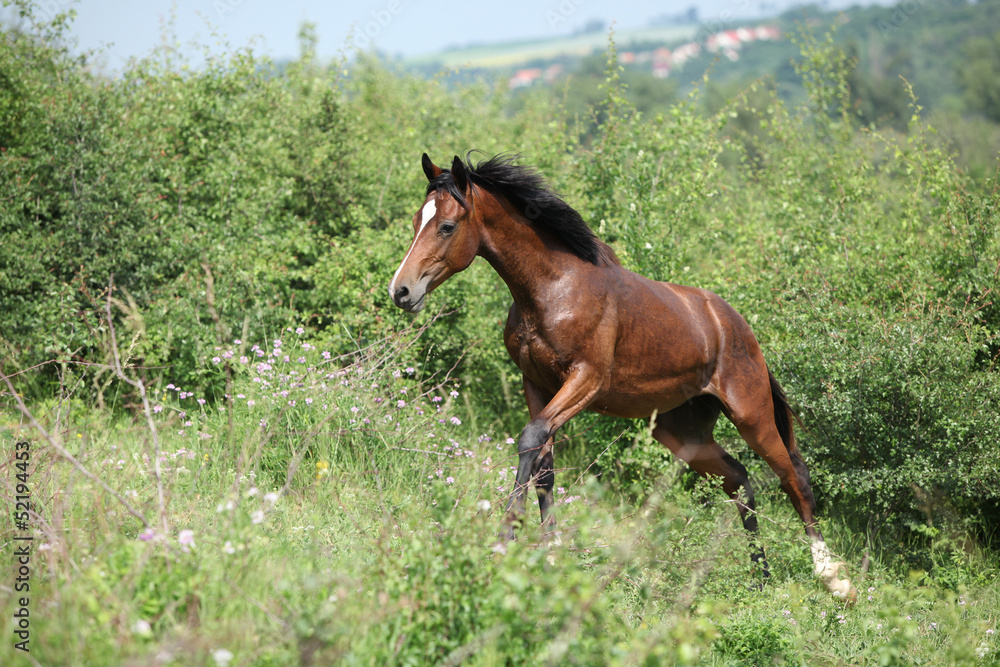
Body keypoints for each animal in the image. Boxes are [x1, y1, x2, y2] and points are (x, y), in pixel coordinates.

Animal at [388, 152, 855, 599]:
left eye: (447, 226)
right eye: (415, 221)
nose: (401, 291)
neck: (554, 289)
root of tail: (738, 326)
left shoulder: (585, 380)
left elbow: (530, 439)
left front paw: (505, 540)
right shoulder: (537, 385)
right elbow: (543, 461)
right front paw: (551, 553)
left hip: (752, 416)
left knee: (795, 478)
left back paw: (833, 579)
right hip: (682, 433)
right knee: (738, 480)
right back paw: (760, 578)